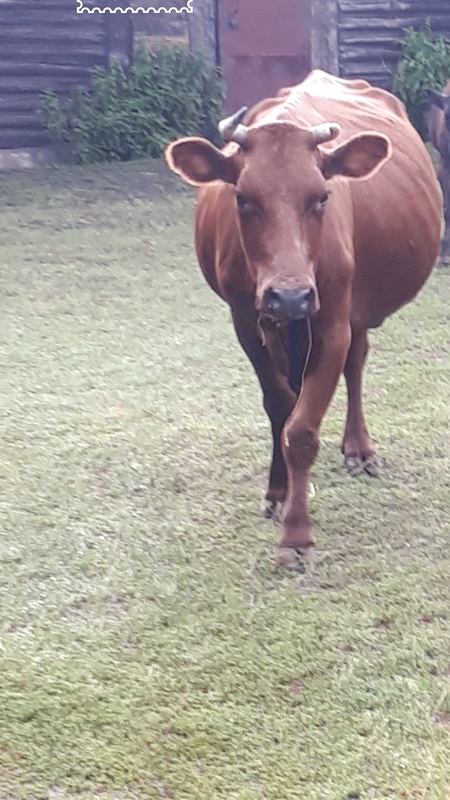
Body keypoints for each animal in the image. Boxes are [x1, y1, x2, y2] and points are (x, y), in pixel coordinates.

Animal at [164, 70, 440, 568]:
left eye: (321, 197)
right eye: (242, 198)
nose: (290, 296)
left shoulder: (331, 321)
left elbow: (303, 429)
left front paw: (296, 535)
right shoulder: (245, 321)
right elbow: (280, 407)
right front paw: (278, 492)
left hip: (354, 310)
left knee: (356, 363)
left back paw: (358, 449)